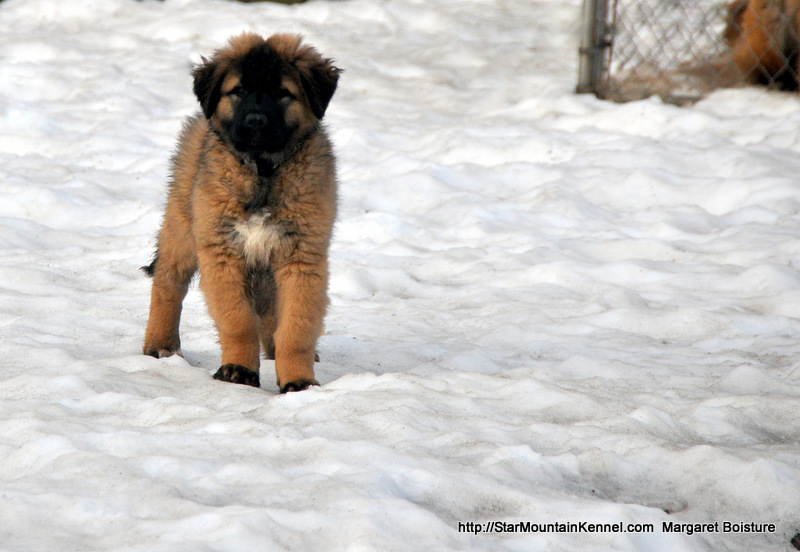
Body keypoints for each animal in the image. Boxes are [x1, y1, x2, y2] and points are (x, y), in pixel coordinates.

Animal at [144, 33, 340, 392]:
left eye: (282, 93)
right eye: (240, 91)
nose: (255, 122)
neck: (262, 171)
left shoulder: (302, 257)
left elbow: (296, 327)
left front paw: (298, 381)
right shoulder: (222, 252)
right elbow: (239, 320)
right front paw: (239, 370)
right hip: (182, 228)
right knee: (168, 283)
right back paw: (160, 344)